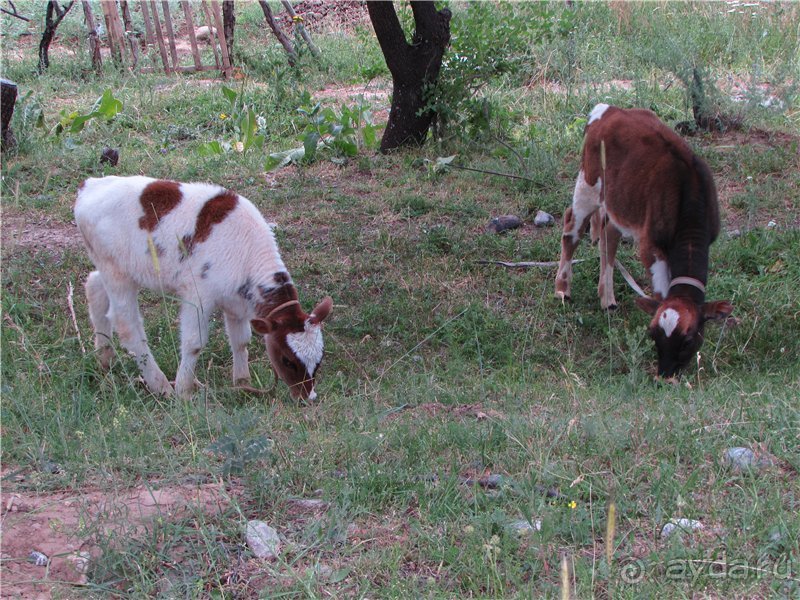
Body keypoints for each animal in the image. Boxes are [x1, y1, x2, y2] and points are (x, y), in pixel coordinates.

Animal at [76, 176, 332, 400]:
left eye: (318, 360)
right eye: (287, 360)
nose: (307, 397)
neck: (247, 251)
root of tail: (89, 186)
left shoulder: (236, 302)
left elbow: (241, 340)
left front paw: (242, 384)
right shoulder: (198, 296)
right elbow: (194, 343)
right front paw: (184, 391)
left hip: (118, 268)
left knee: (94, 286)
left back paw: (105, 360)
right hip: (117, 273)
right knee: (128, 326)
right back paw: (160, 385)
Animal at [556, 103, 732, 376]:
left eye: (689, 340)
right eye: (653, 334)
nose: (665, 375)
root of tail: (609, 110)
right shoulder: (650, 246)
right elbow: (661, 293)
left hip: (618, 200)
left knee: (608, 236)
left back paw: (607, 299)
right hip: (588, 184)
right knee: (571, 228)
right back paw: (563, 289)